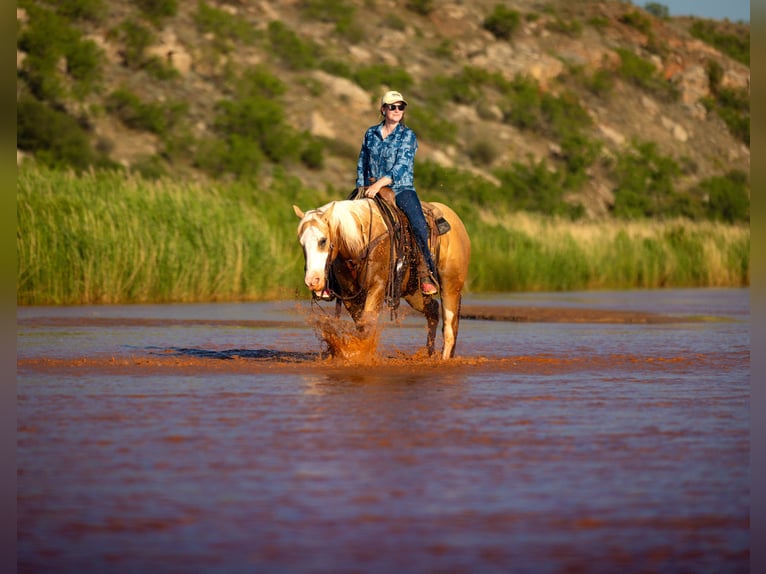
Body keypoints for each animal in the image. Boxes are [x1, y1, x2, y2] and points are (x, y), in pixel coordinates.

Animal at [293, 197, 471, 359]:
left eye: (323, 240)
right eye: (302, 243)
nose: (312, 281)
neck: (361, 242)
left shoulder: (376, 287)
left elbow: (368, 324)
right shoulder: (349, 295)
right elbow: (361, 326)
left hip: (451, 285)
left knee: (449, 326)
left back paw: (444, 358)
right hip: (412, 292)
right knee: (432, 310)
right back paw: (429, 354)